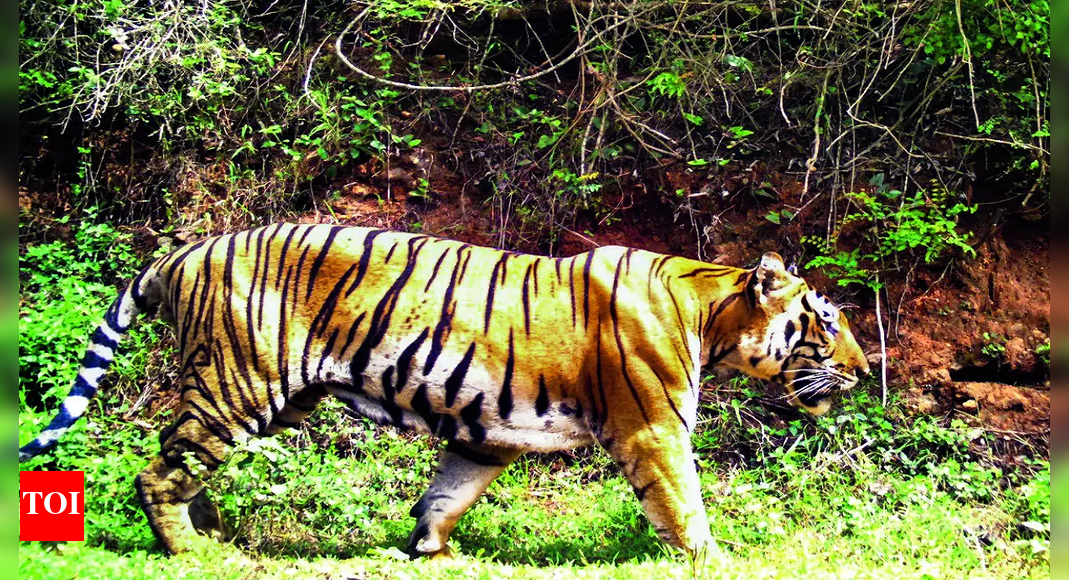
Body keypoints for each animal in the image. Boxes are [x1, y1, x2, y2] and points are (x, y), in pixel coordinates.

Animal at [19, 223, 868, 559]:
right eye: (825, 321)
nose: (863, 370)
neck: (709, 309)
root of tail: (186, 250)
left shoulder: (484, 434)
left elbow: (444, 495)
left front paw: (427, 550)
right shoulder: (652, 428)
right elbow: (684, 504)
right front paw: (715, 559)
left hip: (268, 398)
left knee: (184, 467)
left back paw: (215, 534)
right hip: (237, 383)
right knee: (160, 471)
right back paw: (193, 551)